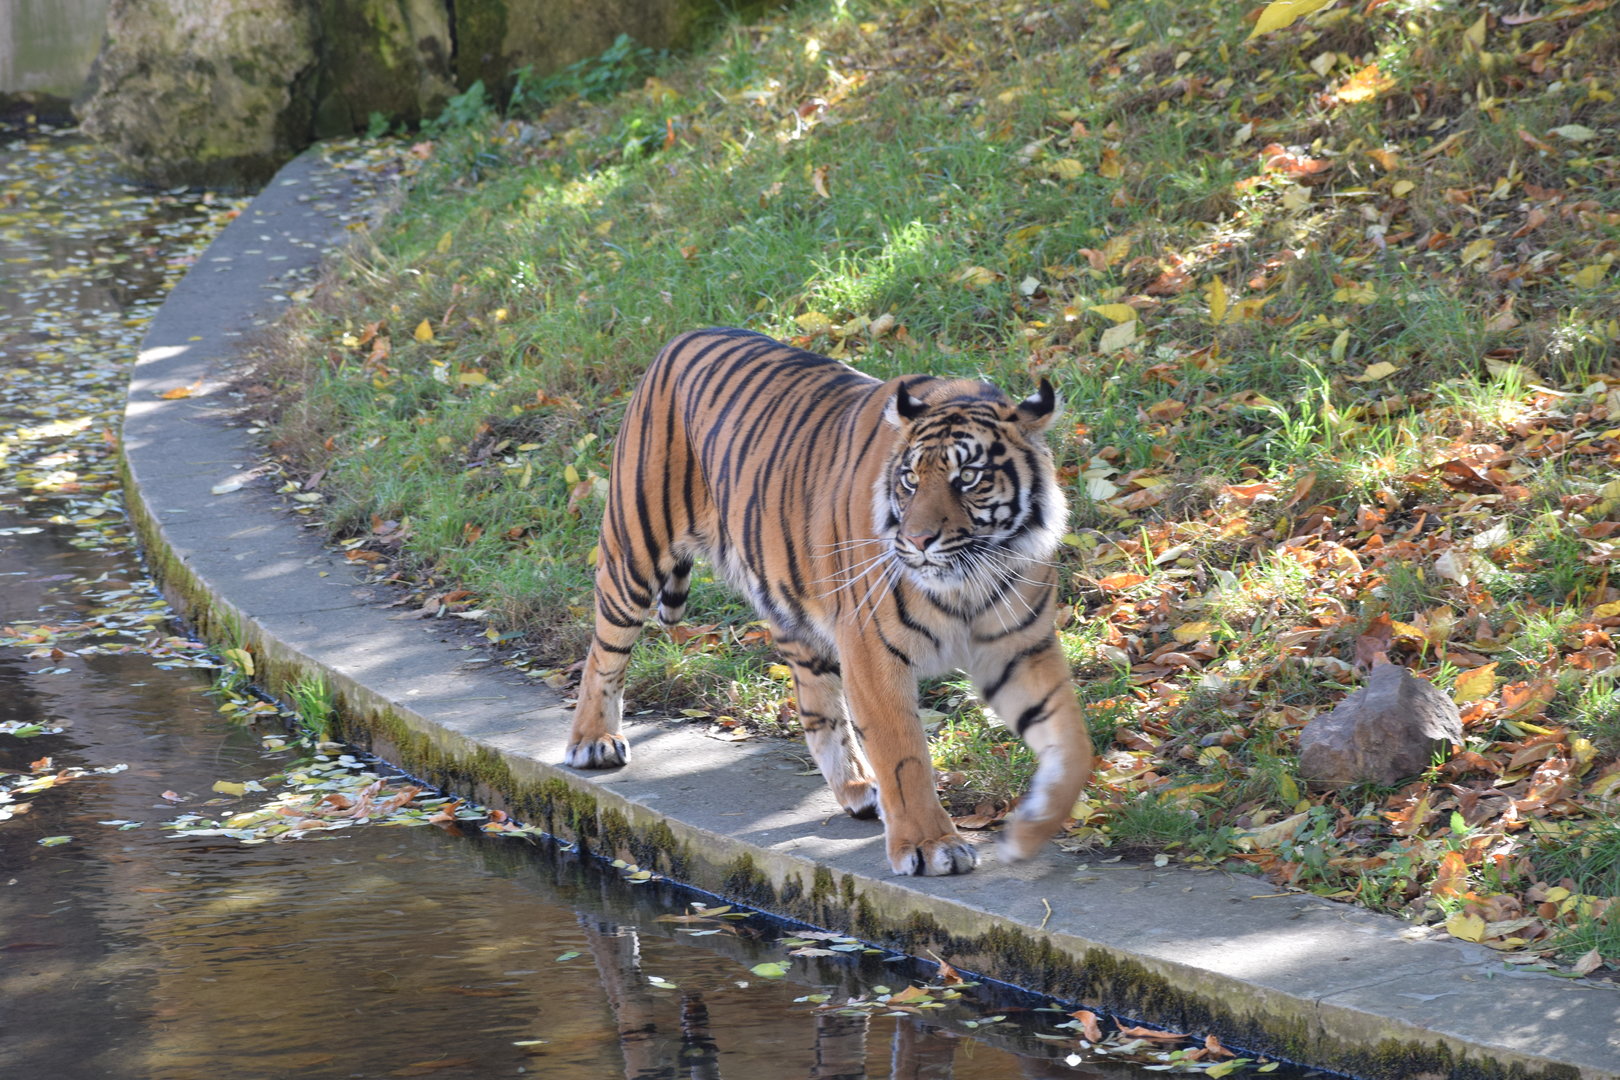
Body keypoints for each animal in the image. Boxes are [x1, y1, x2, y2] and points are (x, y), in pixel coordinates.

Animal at [565, 327, 1094, 876]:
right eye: (910, 479)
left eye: (968, 478)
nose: (919, 540)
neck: (971, 576)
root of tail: (684, 335)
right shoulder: (872, 650)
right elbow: (904, 754)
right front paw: (931, 845)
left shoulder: (1021, 648)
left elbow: (1072, 745)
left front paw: (1029, 833)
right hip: (634, 552)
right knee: (604, 651)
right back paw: (593, 742)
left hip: (791, 607)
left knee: (818, 708)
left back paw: (860, 788)